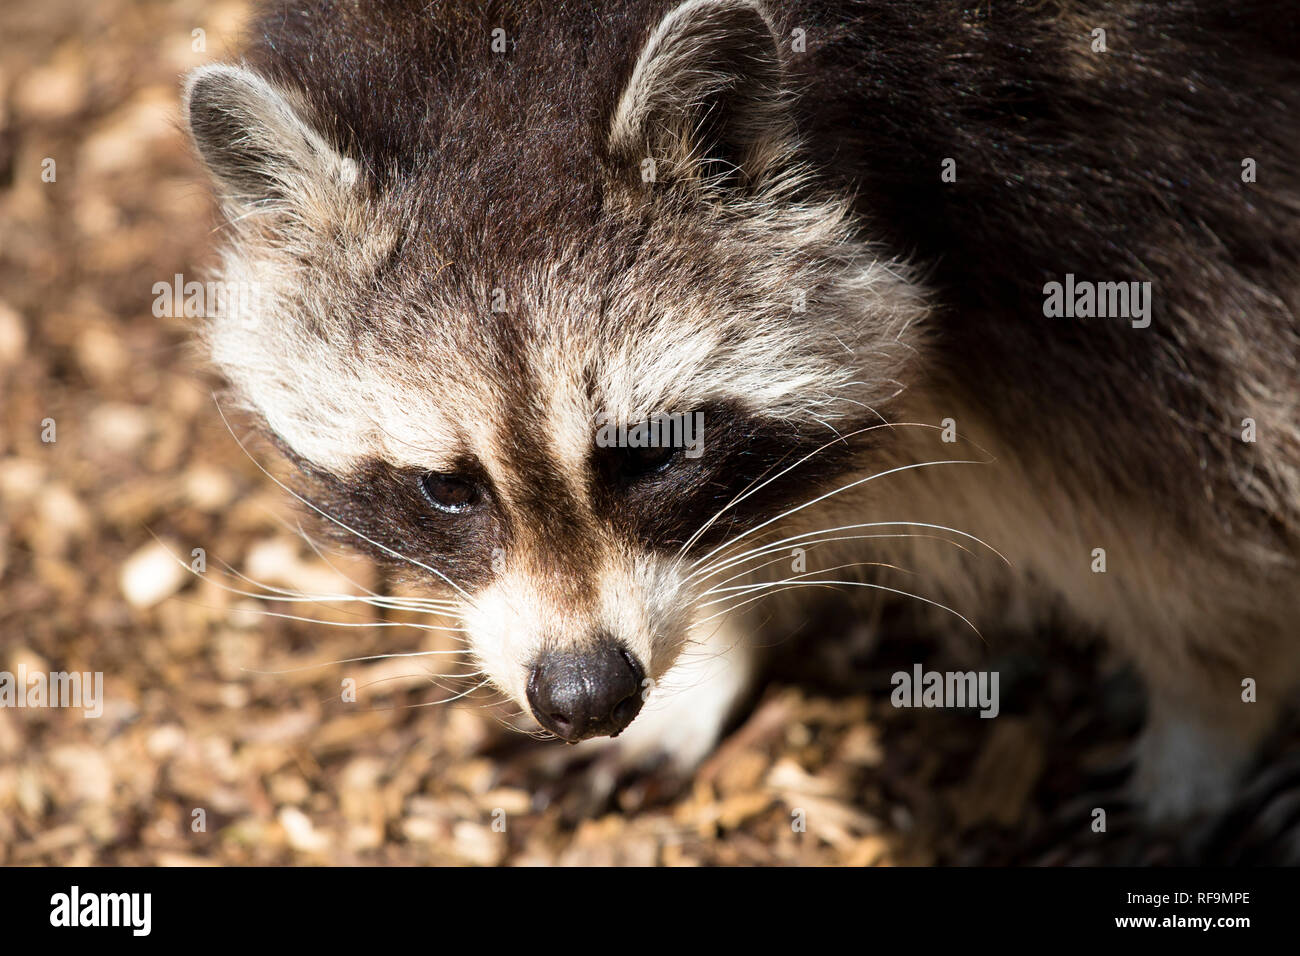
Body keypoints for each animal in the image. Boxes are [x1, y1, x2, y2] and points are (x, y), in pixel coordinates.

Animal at [183, 1, 1300, 822]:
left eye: (648, 455)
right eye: (445, 489)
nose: (587, 695)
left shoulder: (1123, 184)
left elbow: (1191, 482)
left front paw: (1207, 714)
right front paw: (712, 652)